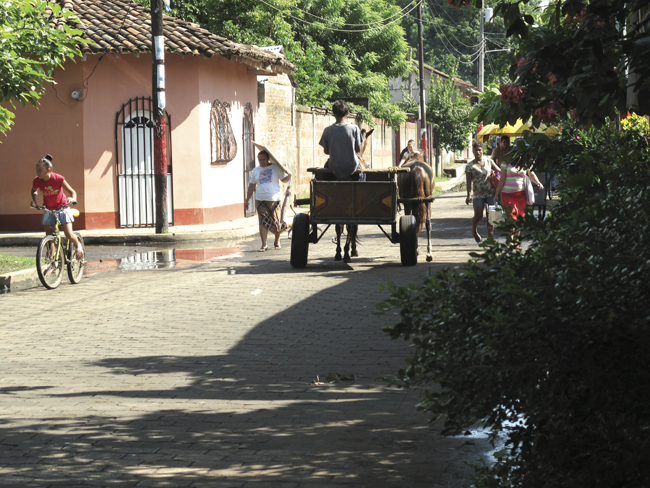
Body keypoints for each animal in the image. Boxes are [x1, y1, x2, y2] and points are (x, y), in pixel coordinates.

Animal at [332, 127, 372, 262]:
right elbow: (354, 227)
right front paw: (353, 250)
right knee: (350, 226)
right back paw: (346, 253)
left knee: (339, 227)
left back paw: (338, 253)